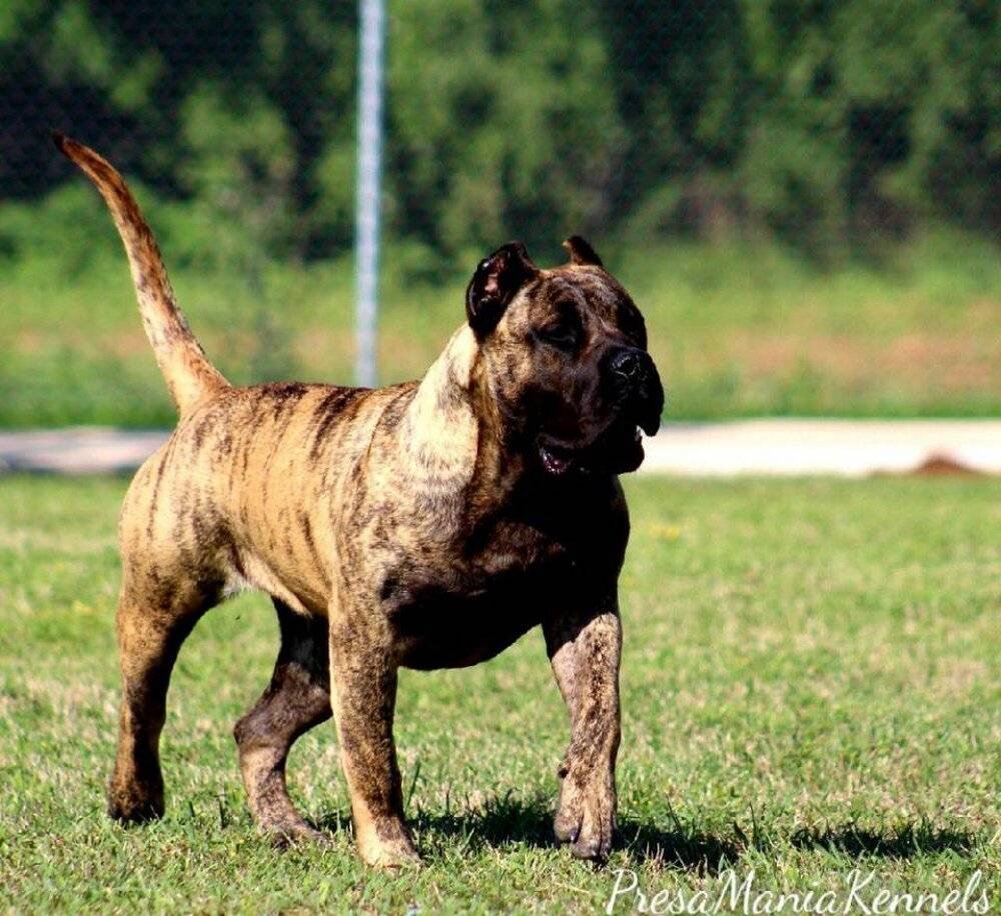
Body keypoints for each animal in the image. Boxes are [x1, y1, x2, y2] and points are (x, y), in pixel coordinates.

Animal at [54, 131, 664, 864]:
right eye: (558, 334)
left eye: (635, 325)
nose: (633, 365)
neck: (516, 486)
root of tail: (212, 398)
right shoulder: (369, 639)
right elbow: (374, 753)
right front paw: (392, 853)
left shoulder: (586, 608)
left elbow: (600, 715)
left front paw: (586, 813)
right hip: (162, 607)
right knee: (141, 710)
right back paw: (134, 798)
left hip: (314, 659)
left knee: (256, 730)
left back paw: (285, 829)